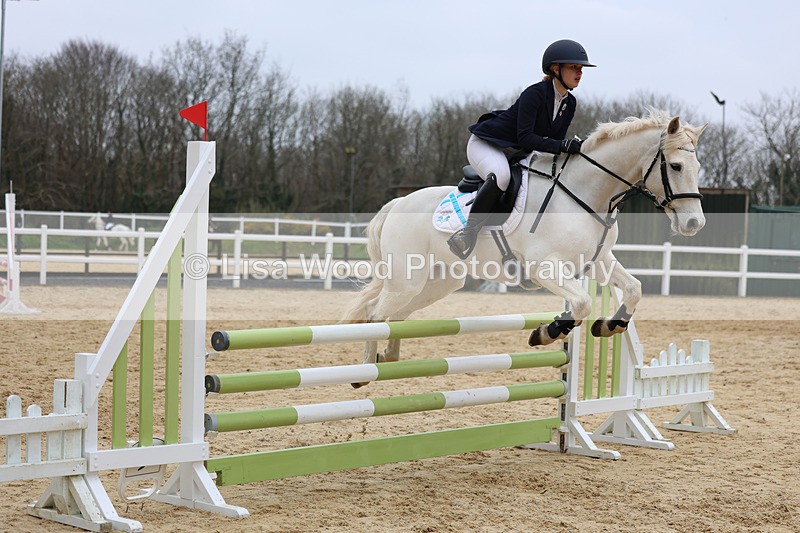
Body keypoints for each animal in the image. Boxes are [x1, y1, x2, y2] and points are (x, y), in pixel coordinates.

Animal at [342, 109, 708, 386]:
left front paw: (608, 326)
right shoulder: (544, 267)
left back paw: (388, 356)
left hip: (438, 281)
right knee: (375, 314)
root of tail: (397, 203)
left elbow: (633, 289)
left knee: (395, 315)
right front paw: (547, 332)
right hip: (407, 279)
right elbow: (582, 302)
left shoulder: (599, 260)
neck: (586, 194)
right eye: (676, 166)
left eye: (698, 168)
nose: (694, 224)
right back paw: (364, 371)